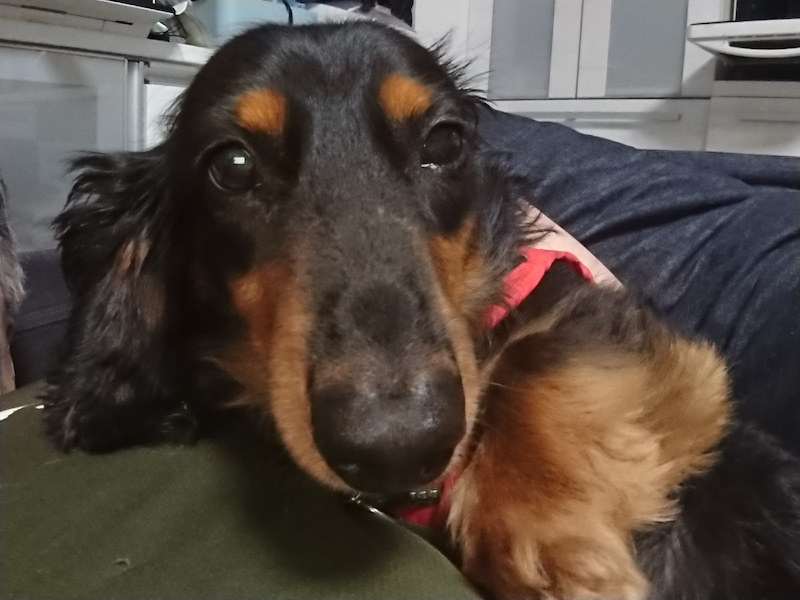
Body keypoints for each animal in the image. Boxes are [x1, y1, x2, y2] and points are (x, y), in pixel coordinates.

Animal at [43, 22, 800, 599]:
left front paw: (550, 537)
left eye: (444, 141)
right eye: (231, 165)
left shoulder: (615, 319)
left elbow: (541, 353)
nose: (398, 443)